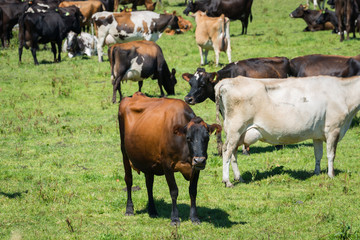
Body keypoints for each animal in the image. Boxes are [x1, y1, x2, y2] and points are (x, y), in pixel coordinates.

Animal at [119, 91, 219, 225]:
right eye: (188, 138)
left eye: (207, 138)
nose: (199, 160)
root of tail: (135, 95)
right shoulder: (167, 165)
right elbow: (174, 191)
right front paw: (175, 218)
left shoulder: (196, 168)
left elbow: (193, 191)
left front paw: (194, 217)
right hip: (124, 152)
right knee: (129, 180)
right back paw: (129, 209)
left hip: (148, 160)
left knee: (149, 184)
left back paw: (152, 210)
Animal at [215, 75, 360, 188]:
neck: (344, 93)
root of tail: (227, 81)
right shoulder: (334, 129)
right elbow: (331, 155)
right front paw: (331, 175)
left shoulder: (317, 134)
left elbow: (318, 154)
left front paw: (317, 172)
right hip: (235, 129)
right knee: (227, 151)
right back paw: (227, 181)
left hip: (237, 133)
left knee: (233, 153)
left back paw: (239, 178)